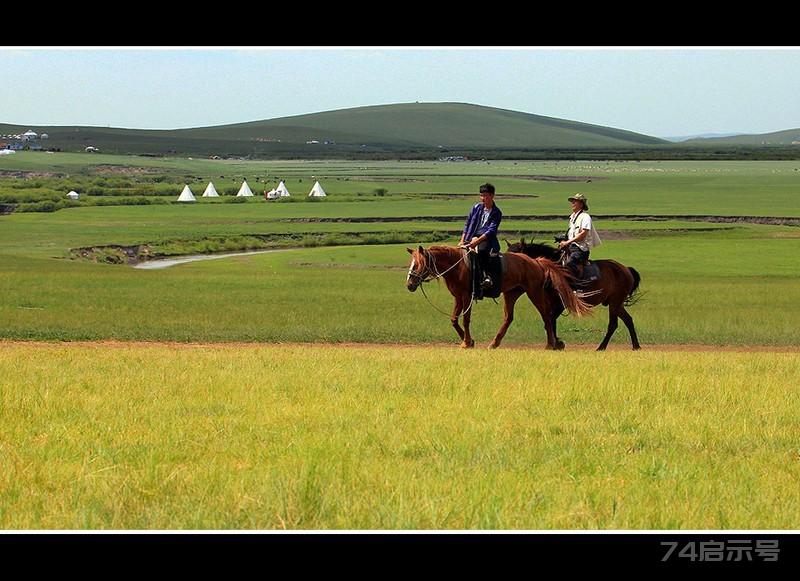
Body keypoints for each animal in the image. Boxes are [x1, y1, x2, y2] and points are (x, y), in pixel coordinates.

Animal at [404, 245, 592, 348]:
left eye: (419, 264)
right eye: (411, 263)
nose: (409, 284)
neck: (457, 266)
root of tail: (536, 261)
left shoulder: (467, 296)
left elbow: (465, 319)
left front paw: (467, 342)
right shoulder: (458, 297)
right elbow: (454, 320)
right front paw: (468, 341)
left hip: (534, 292)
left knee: (546, 314)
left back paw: (550, 344)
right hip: (511, 294)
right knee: (509, 318)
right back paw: (494, 343)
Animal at [506, 238, 644, 352]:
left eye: (516, 254)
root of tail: (626, 269)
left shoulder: (560, 304)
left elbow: (551, 320)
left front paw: (557, 343)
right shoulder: (552, 302)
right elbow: (550, 321)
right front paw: (556, 344)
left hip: (615, 302)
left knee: (613, 324)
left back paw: (601, 347)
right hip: (616, 303)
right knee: (628, 320)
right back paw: (636, 346)